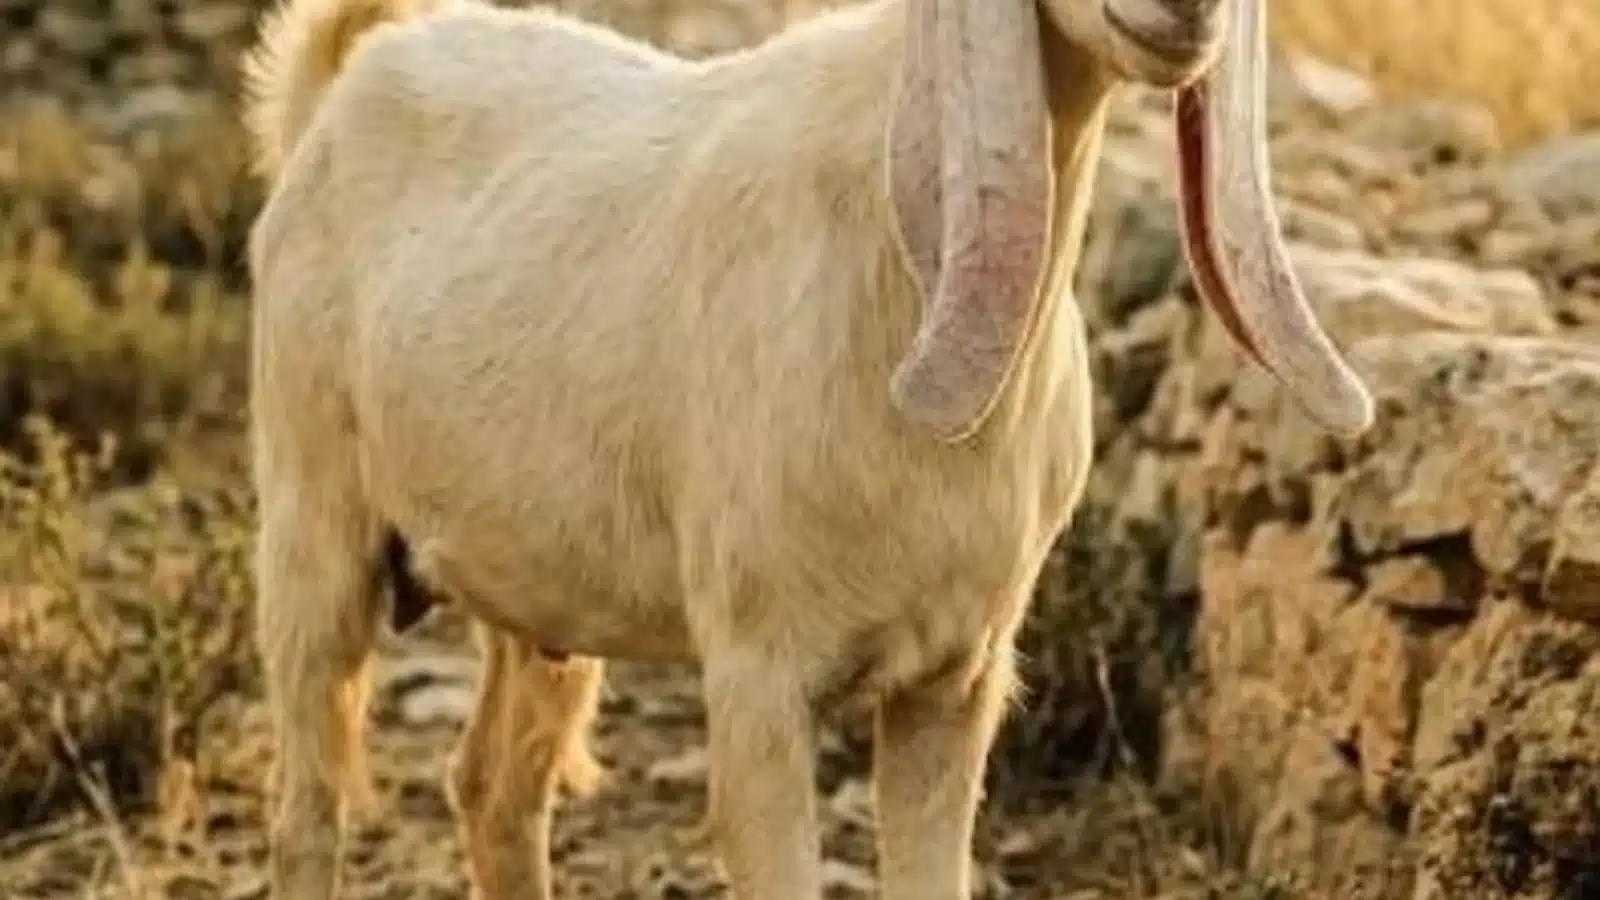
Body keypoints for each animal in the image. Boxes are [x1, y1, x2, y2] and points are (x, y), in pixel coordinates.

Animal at [240, 0, 1373, 896]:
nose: (1185, 10)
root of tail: (342, 81)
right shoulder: (758, 676)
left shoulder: (954, 678)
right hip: (312, 530)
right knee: (306, 811)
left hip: (535, 585)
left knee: (494, 793)